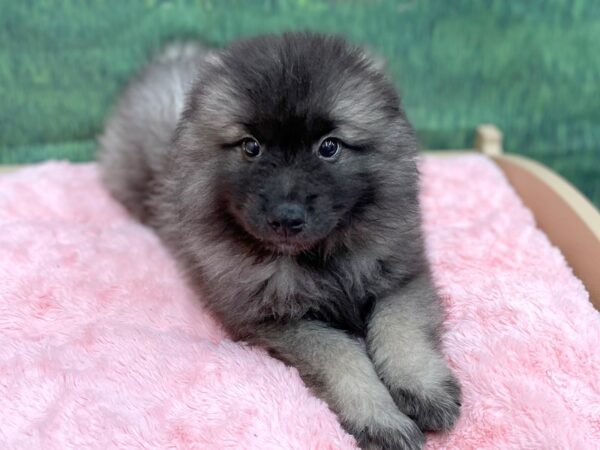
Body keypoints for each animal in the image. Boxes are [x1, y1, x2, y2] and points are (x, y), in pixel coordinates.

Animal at [99, 32, 460, 450]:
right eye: (251, 146)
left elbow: (398, 329)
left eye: (329, 146)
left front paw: (422, 386)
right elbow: (340, 355)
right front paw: (378, 416)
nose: (286, 218)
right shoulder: (276, 321)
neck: (320, 257)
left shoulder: (402, 278)